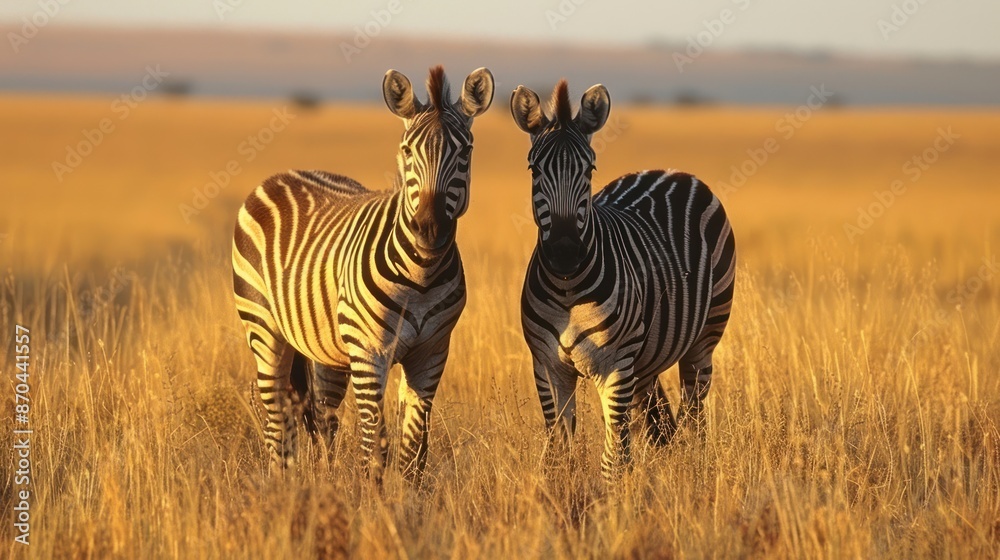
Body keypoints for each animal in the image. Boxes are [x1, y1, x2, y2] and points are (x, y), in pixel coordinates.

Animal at [232, 66, 494, 481]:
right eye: (407, 151)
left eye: (466, 151)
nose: (430, 229)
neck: (421, 275)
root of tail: (279, 175)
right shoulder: (369, 351)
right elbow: (375, 448)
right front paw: (372, 498)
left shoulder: (432, 352)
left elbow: (413, 452)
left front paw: (406, 498)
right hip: (263, 326)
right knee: (278, 416)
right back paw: (283, 483)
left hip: (325, 347)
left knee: (323, 418)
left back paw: (324, 481)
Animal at [510, 80, 736, 479]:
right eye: (534, 169)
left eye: (589, 169)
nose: (565, 252)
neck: (567, 288)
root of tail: (674, 172)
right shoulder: (547, 365)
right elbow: (558, 450)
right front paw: (558, 489)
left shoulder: (615, 364)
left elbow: (613, 460)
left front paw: (615, 494)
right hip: (645, 358)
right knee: (659, 422)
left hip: (704, 337)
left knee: (694, 414)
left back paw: (695, 468)